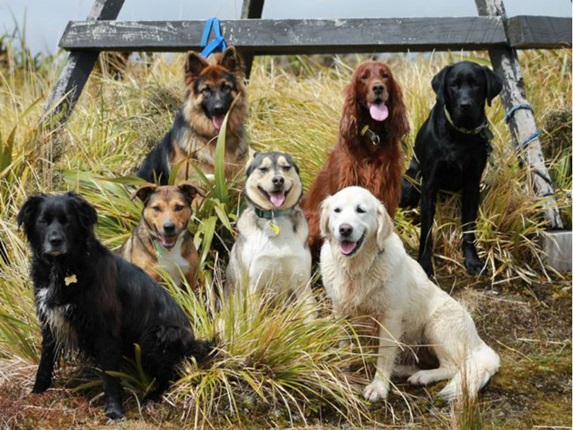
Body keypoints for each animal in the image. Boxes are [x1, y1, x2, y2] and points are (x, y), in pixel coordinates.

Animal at [17, 192, 211, 420]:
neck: (65, 268)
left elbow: (109, 375)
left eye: (68, 221)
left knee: (169, 373)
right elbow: (45, 361)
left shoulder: (106, 329)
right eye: (43, 222)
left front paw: (114, 410)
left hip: (155, 335)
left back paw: (151, 396)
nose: (55, 241)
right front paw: (37, 391)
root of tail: (192, 340)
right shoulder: (50, 320)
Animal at [226, 151, 312, 310]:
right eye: (263, 169)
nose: (278, 180)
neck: (275, 215)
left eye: (286, 167)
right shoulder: (254, 286)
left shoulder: (302, 284)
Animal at [400, 61, 502, 276]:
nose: (465, 105)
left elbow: (469, 227)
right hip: (409, 185)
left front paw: (472, 261)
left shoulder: (473, 184)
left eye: (476, 84)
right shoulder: (429, 185)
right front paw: (424, 264)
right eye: (453, 85)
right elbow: (427, 230)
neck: (460, 135)